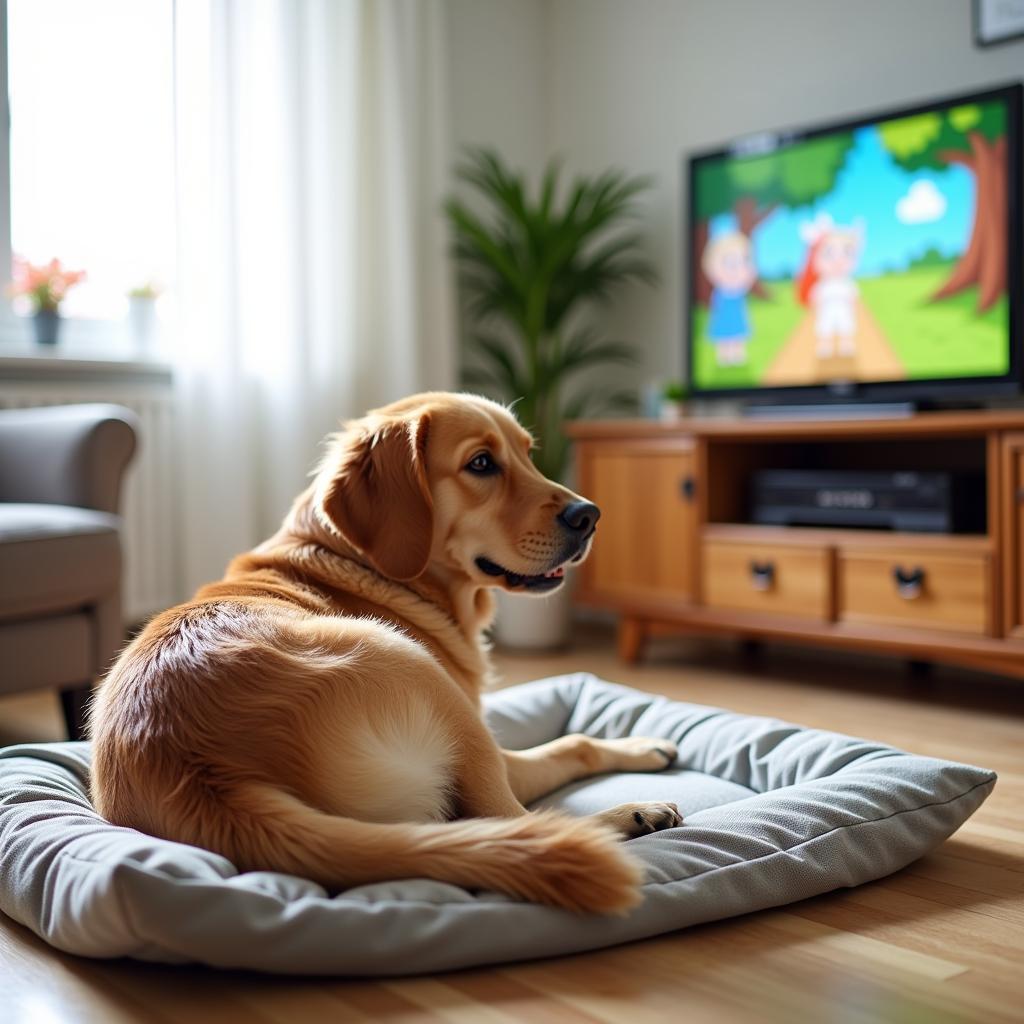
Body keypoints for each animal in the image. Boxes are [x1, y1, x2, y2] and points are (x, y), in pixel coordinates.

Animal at [90, 389, 679, 913]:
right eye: (482, 463)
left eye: (528, 453)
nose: (589, 515)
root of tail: (210, 773)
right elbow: (569, 745)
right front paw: (641, 751)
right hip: (420, 673)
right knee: (518, 821)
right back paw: (634, 815)